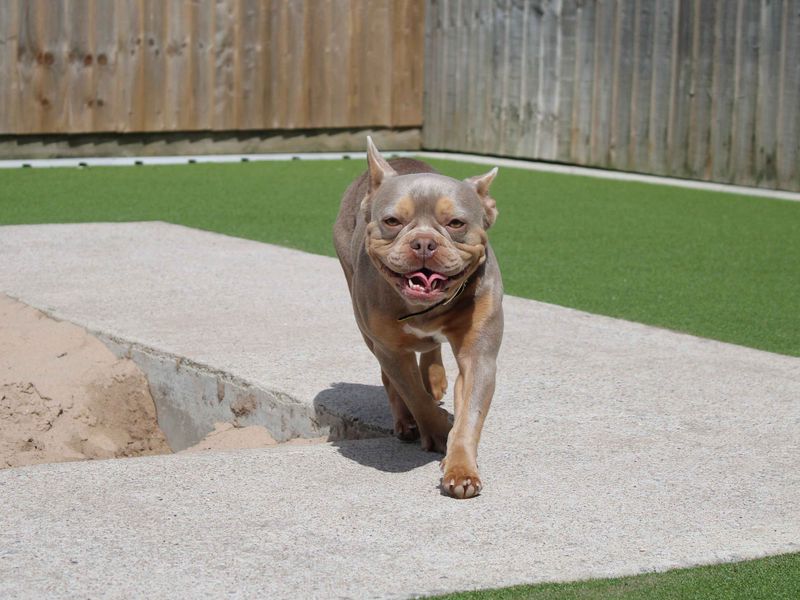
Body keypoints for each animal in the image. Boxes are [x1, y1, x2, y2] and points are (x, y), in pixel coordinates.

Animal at [334, 138, 504, 500]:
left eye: (456, 224)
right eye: (392, 221)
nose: (424, 242)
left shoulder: (479, 355)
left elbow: (470, 414)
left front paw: (461, 468)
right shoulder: (391, 350)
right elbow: (413, 393)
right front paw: (438, 432)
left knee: (429, 349)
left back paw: (435, 377)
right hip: (366, 326)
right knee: (392, 378)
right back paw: (405, 422)